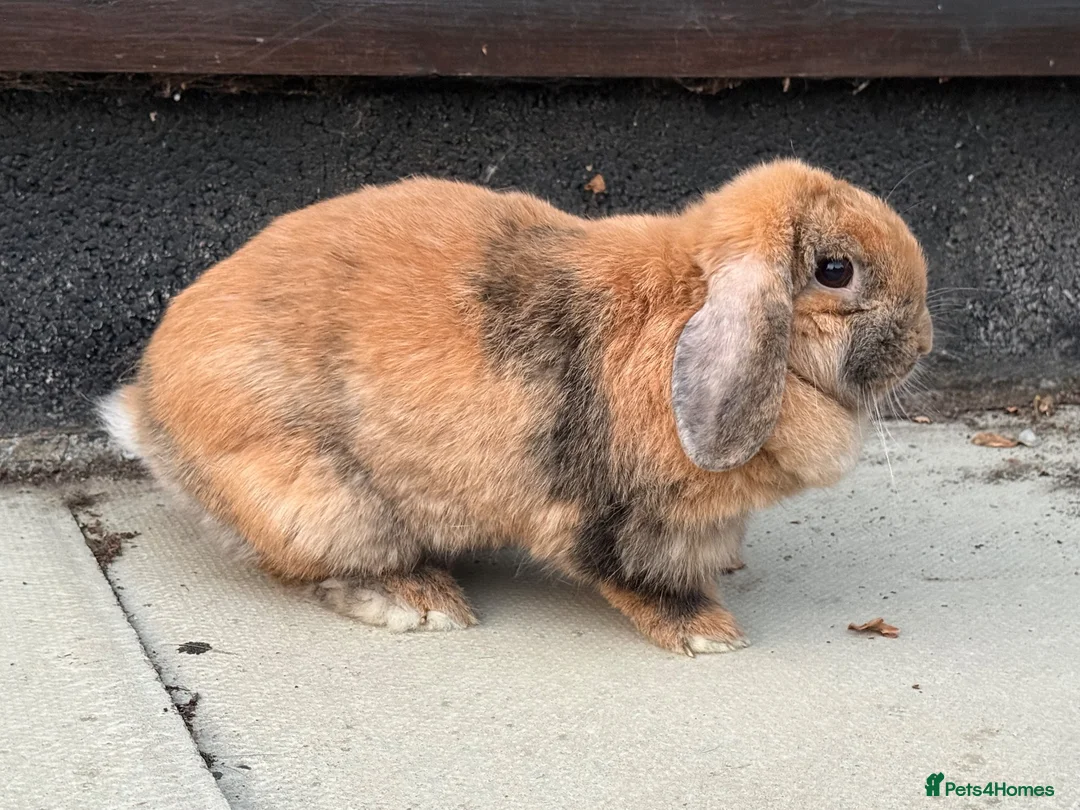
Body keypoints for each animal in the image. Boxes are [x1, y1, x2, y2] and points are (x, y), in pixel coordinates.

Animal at [100, 158, 932, 655]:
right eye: (835, 271)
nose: (923, 342)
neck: (685, 302)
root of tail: (149, 410)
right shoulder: (617, 515)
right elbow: (638, 577)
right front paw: (708, 634)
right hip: (324, 500)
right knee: (318, 567)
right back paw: (421, 602)